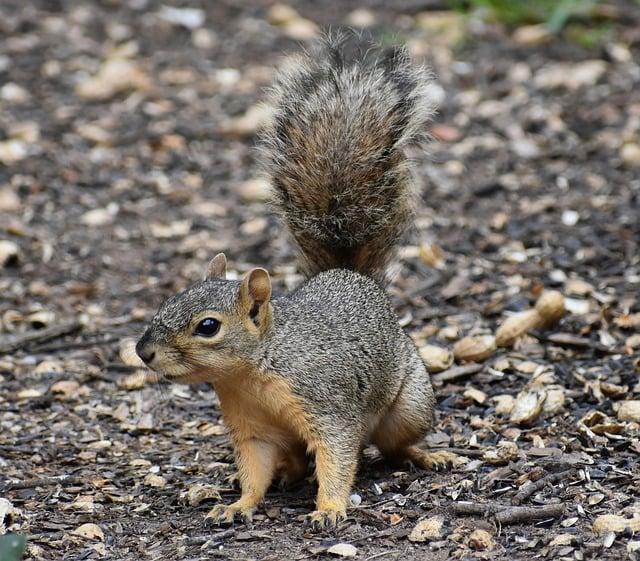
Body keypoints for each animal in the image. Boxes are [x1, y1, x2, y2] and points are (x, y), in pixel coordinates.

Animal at [135, 32, 458, 532]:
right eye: (169, 300)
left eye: (208, 326)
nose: (143, 351)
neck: (252, 374)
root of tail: (348, 273)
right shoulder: (251, 428)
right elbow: (254, 470)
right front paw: (239, 504)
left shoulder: (327, 406)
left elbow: (338, 457)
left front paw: (328, 509)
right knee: (294, 461)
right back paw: (287, 475)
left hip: (409, 405)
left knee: (394, 445)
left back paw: (425, 455)